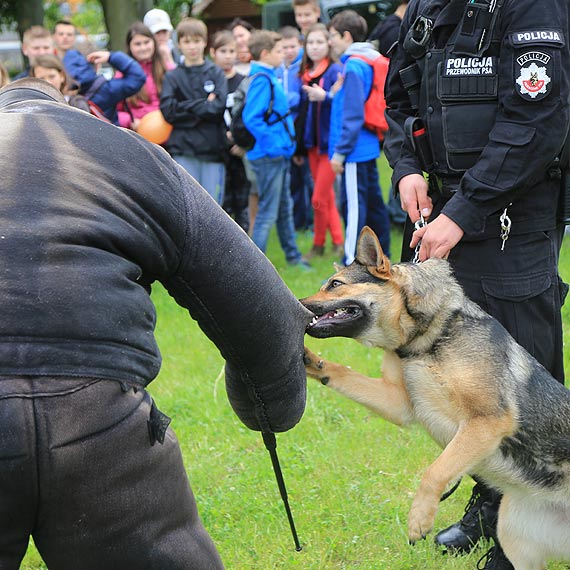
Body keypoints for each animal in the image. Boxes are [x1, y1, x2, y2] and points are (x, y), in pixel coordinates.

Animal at [300, 226, 568, 568]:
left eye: (335, 284)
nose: (297, 303)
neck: (425, 340)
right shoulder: (399, 404)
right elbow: (342, 373)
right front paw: (310, 360)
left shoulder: (487, 421)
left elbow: (434, 471)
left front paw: (419, 519)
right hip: (514, 535)